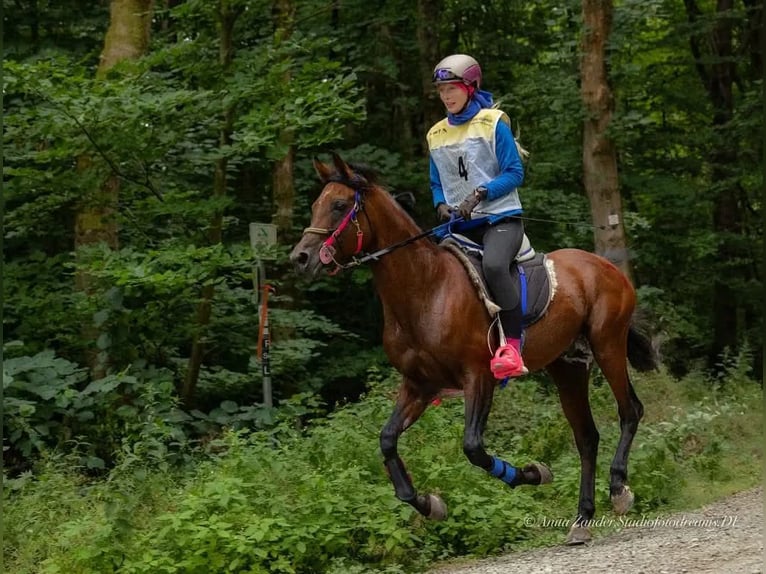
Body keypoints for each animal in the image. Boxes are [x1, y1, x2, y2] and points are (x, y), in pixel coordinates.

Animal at [289, 154, 658, 545]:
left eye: (340, 205)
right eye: (315, 205)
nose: (300, 258)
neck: (425, 289)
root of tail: (605, 267)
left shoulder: (478, 377)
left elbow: (473, 448)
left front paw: (533, 472)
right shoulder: (420, 386)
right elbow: (387, 441)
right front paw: (429, 504)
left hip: (607, 344)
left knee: (630, 410)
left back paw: (619, 489)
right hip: (567, 366)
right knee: (586, 436)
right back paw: (582, 519)